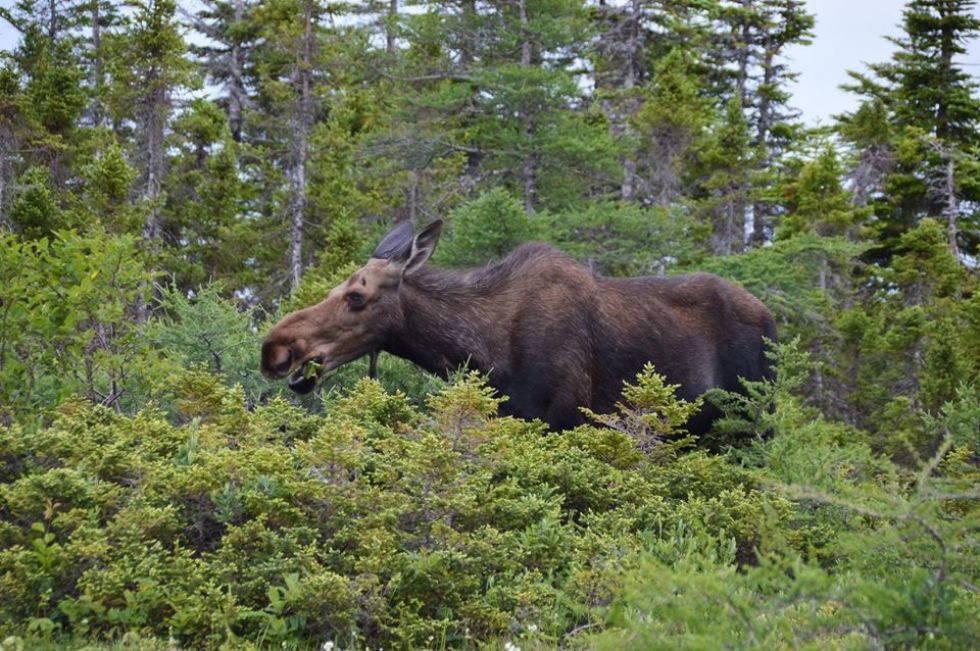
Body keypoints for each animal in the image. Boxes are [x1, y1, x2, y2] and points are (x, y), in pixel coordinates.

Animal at [258, 220, 772, 438]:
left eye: (356, 297)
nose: (274, 348)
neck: (483, 355)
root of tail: (773, 320)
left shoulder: (560, 422)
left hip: (753, 423)